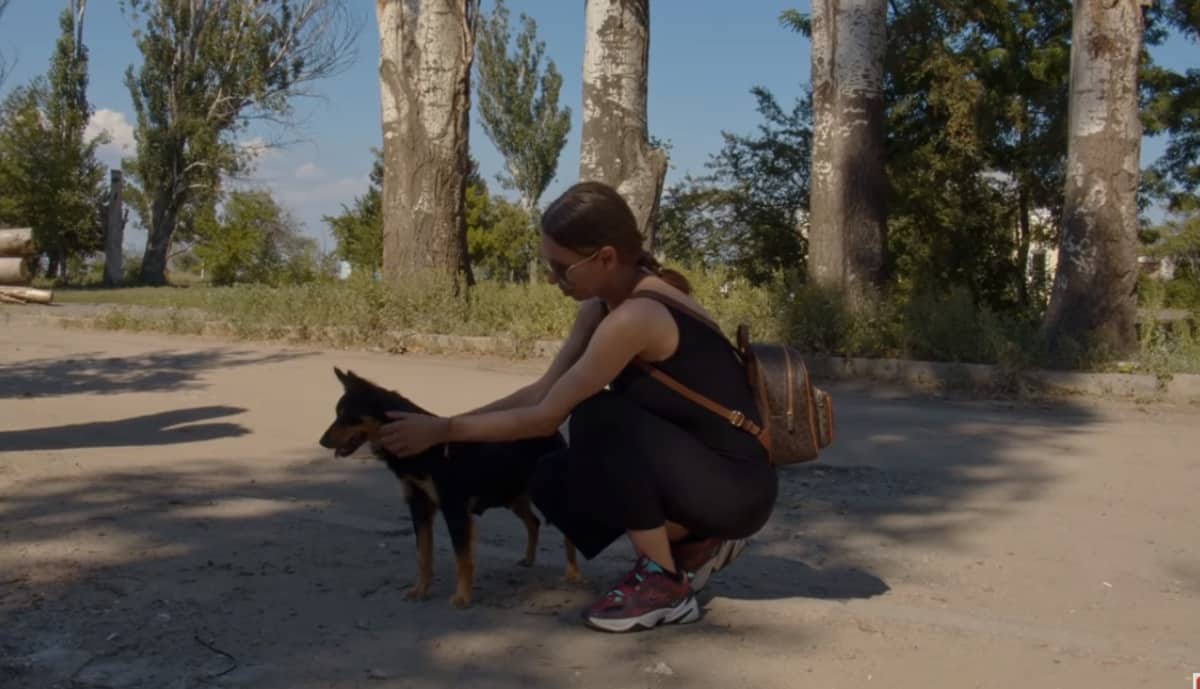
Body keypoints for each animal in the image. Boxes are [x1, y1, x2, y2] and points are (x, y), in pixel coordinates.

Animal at [319, 369, 580, 607]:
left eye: (346, 416)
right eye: (337, 414)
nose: (322, 442)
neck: (425, 450)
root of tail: (554, 431)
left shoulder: (453, 509)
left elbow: (462, 559)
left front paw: (462, 597)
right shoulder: (419, 507)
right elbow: (423, 555)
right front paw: (420, 590)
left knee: (567, 535)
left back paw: (572, 573)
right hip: (513, 496)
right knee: (533, 522)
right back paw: (528, 559)